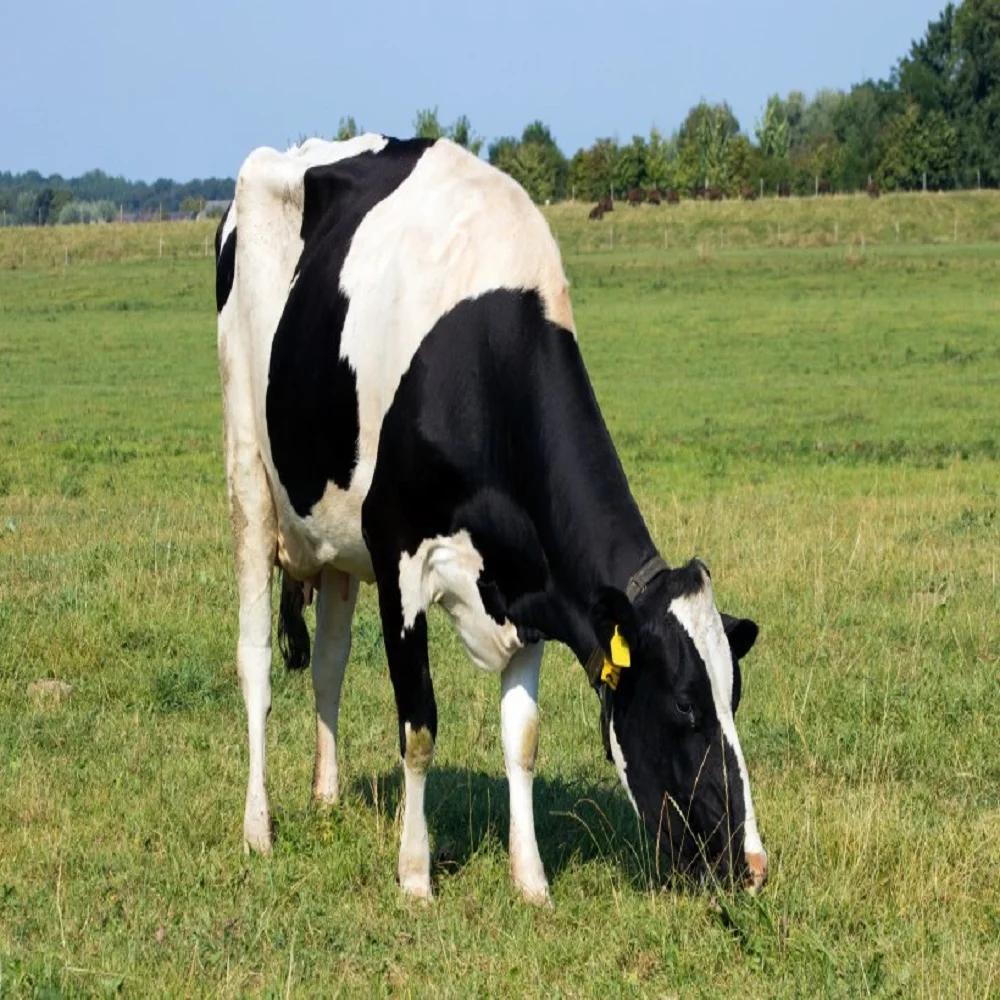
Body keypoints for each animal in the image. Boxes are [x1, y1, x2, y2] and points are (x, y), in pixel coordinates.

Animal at [216, 134, 767, 904]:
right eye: (687, 704)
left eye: (734, 696)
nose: (753, 866)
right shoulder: (399, 554)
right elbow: (419, 726)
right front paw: (415, 875)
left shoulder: (534, 580)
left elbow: (523, 737)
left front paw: (530, 880)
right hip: (247, 470)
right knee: (257, 662)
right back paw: (258, 827)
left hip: (335, 537)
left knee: (328, 665)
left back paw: (326, 799)